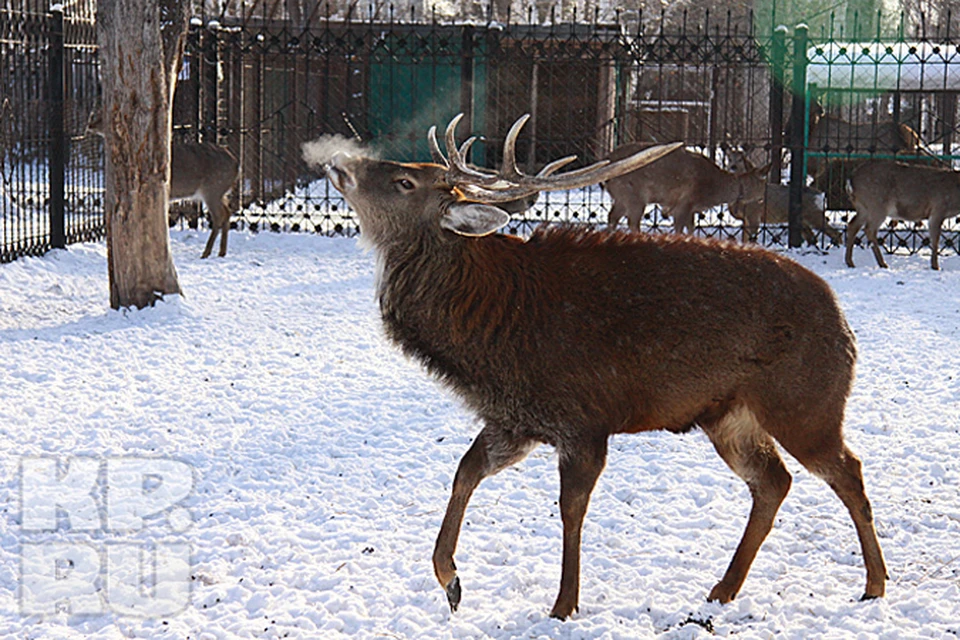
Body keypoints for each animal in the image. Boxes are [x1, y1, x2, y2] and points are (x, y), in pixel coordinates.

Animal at [86, 110, 240, 258]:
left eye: (106, 115)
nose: (89, 125)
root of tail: (236, 165)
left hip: (213, 189)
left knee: (219, 216)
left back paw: (207, 252)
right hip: (219, 191)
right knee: (227, 212)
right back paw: (221, 252)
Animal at [604, 144, 768, 234]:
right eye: (763, 185)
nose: (764, 197)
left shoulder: (691, 208)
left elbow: (691, 228)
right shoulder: (685, 202)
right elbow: (679, 229)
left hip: (621, 196)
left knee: (612, 216)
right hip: (634, 195)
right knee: (632, 222)